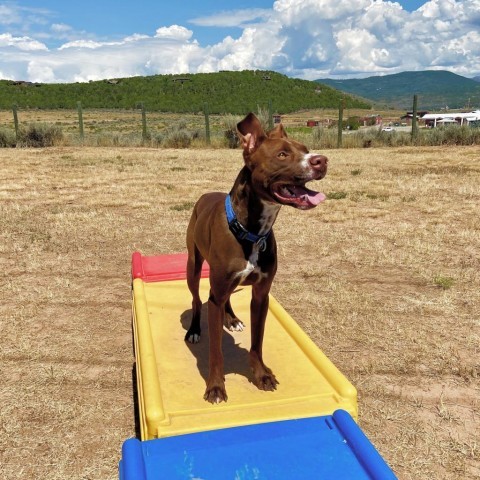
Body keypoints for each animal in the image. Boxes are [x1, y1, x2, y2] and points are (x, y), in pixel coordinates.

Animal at [184, 114, 326, 404]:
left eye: (305, 149)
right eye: (282, 154)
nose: (322, 160)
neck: (251, 231)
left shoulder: (261, 295)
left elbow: (257, 343)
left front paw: (261, 375)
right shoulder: (217, 293)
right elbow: (216, 351)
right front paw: (216, 387)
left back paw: (231, 318)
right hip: (193, 266)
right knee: (196, 298)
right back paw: (193, 329)